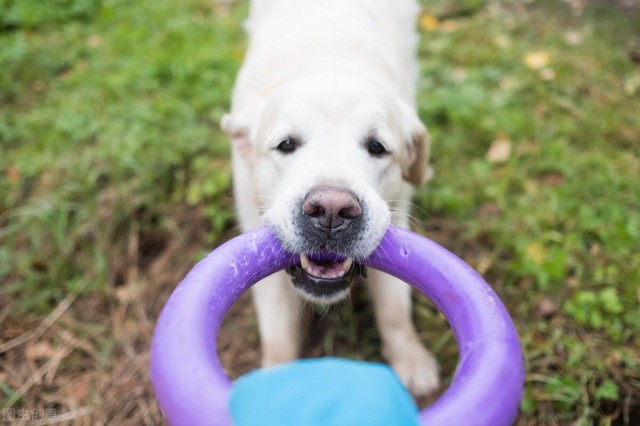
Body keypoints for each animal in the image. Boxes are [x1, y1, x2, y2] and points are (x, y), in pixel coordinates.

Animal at [221, 0, 440, 396]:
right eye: (286, 144)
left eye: (377, 147)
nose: (331, 211)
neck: (328, 56)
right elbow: (278, 335)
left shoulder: (396, 216)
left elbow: (394, 307)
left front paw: (412, 360)